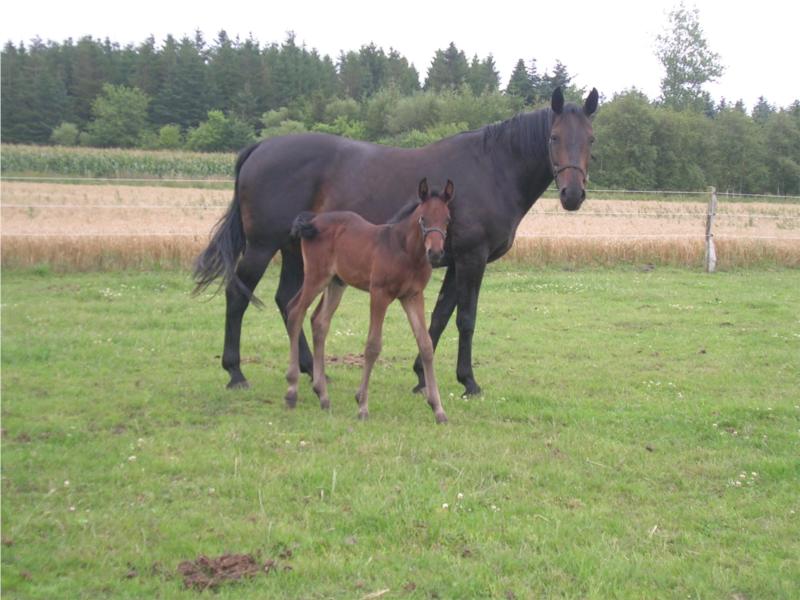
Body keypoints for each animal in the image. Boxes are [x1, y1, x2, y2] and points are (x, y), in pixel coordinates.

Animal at [284, 178, 454, 422]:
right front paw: (362, 406)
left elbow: (426, 344)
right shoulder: (379, 294)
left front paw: (438, 409)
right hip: (316, 277)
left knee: (319, 322)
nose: (436, 253)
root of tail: (313, 220)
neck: (404, 250)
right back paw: (292, 391)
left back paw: (323, 395)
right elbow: (373, 345)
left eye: (447, 219)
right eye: (423, 218)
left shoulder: (413, 296)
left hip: (336, 283)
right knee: (295, 311)